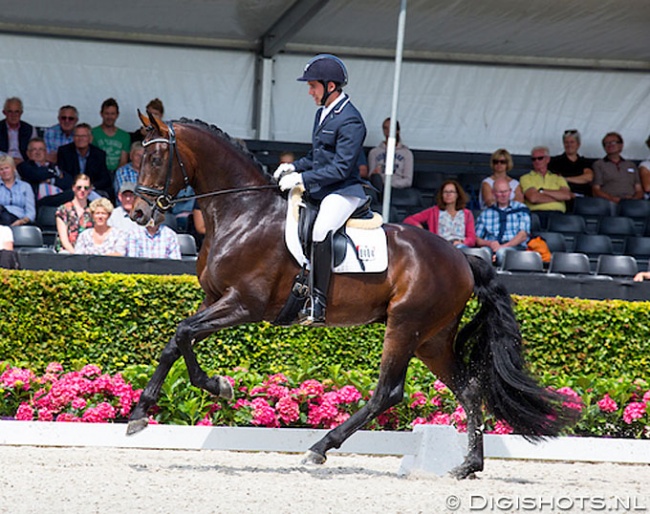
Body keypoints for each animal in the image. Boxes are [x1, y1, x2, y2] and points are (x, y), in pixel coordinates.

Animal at [129, 112, 576, 476]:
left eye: (156, 159)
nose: (137, 213)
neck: (244, 212)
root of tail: (463, 258)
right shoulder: (215, 299)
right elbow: (177, 340)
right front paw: (149, 409)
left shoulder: (243, 304)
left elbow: (183, 333)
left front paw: (206, 389)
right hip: (431, 339)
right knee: (467, 389)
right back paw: (468, 466)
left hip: (405, 326)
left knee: (387, 392)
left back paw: (319, 448)